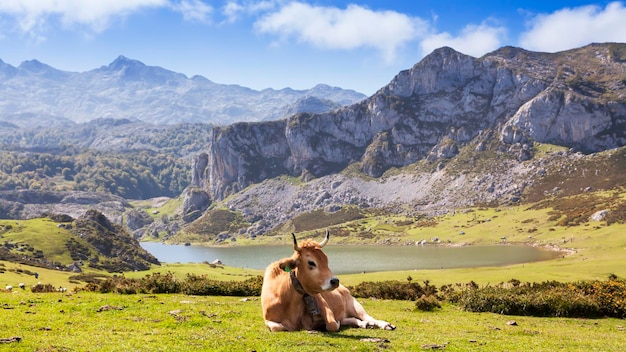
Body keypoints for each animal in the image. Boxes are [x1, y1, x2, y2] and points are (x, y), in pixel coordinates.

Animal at [260, 230, 394, 332]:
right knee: (352, 319)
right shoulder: (268, 320)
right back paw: (364, 324)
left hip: (355, 305)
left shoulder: (324, 305)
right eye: (311, 262)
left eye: (326, 259)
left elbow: (332, 325)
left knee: (369, 317)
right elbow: (278, 327)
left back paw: (385, 324)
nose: (335, 281)